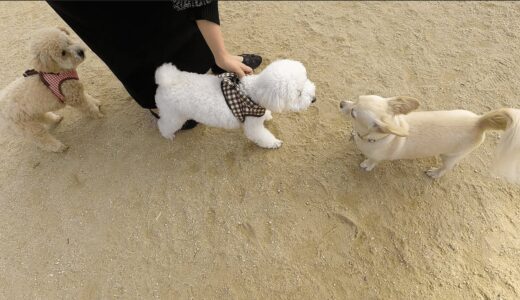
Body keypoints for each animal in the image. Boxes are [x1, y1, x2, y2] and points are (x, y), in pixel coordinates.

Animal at [154, 59, 314, 148]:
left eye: (306, 80)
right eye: (298, 93)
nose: (314, 99)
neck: (252, 94)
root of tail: (167, 82)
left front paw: (267, 115)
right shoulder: (253, 126)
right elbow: (262, 137)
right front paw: (274, 143)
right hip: (175, 116)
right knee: (163, 124)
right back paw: (168, 135)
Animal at [340, 95, 520, 183]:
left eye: (353, 113)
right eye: (355, 98)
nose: (341, 103)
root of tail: (479, 122)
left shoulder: (376, 157)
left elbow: (371, 161)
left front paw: (366, 165)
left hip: (450, 157)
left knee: (446, 168)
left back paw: (435, 173)